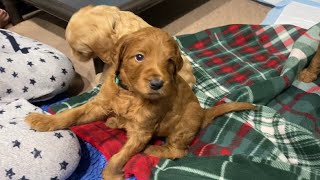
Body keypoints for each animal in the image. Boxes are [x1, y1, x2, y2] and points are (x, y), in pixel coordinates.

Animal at [26, 27, 258, 180]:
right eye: (139, 57)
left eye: (169, 61)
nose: (157, 84)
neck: (130, 93)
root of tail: (203, 113)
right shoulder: (99, 104)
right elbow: (73, 114)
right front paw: (43, 121)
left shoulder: (142, 132)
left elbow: (120, 156)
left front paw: (112, 174)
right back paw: (114, 121)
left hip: (186, 120)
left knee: (178, 151)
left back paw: (153, 149)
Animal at [65, 4, 195, 87]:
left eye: (79, 51)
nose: (74, 57)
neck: (115, 24)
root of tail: (193, 81)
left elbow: (106, 73)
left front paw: (98, 80)